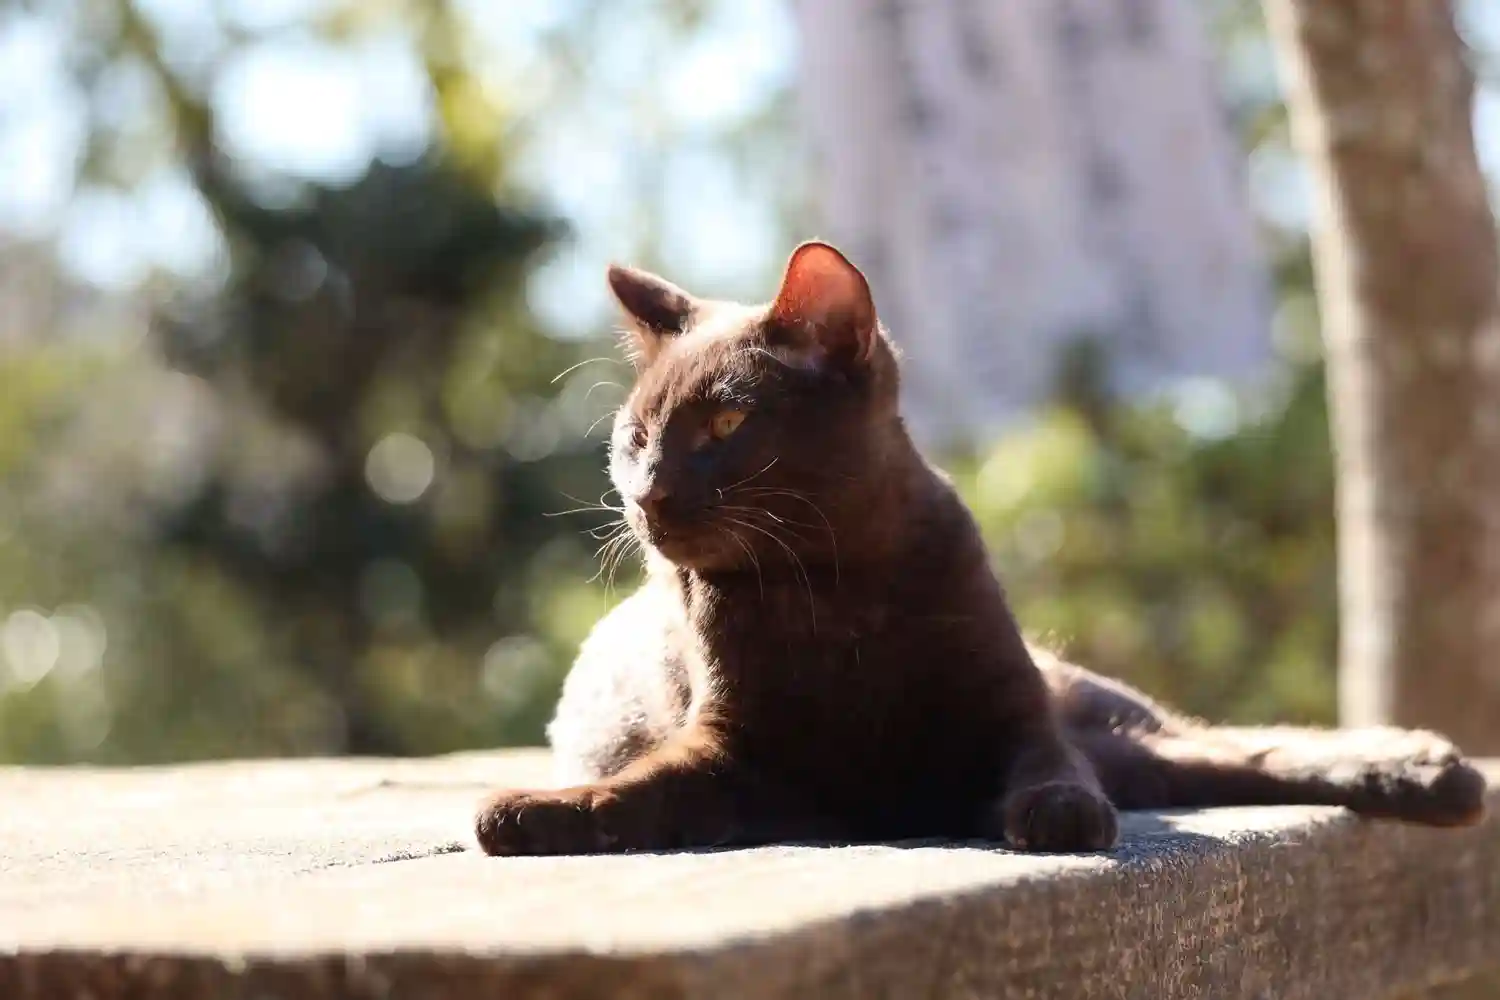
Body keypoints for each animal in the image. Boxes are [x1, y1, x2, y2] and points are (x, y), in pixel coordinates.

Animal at [474, 241, 1487, 856]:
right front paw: (531, 811)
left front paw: (1058, 814)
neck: (835, 587)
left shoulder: (1016, 712)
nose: (645, 496)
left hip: (1103, 717)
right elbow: (631, 794)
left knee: (1239, 749)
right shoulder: (730, 756)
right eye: (635, 439)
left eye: (725, 423)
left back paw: (1431, 771)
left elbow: (1048, 766)